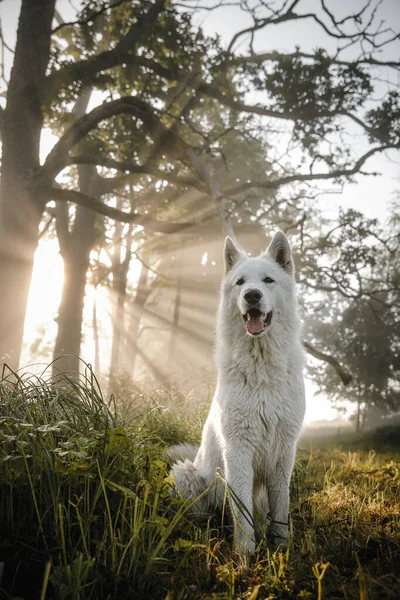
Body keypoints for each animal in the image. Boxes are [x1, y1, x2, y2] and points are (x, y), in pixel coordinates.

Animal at [168, 232, 304, 556]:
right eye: (240, 282)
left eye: (268, 280)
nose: (252, 295)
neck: (261, 368)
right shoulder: (238, 450)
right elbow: (242, 513)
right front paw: (245, 555)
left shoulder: (284, 452)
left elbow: (281, 507)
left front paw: (281, 548)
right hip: (185, 476)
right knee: (202, 510)